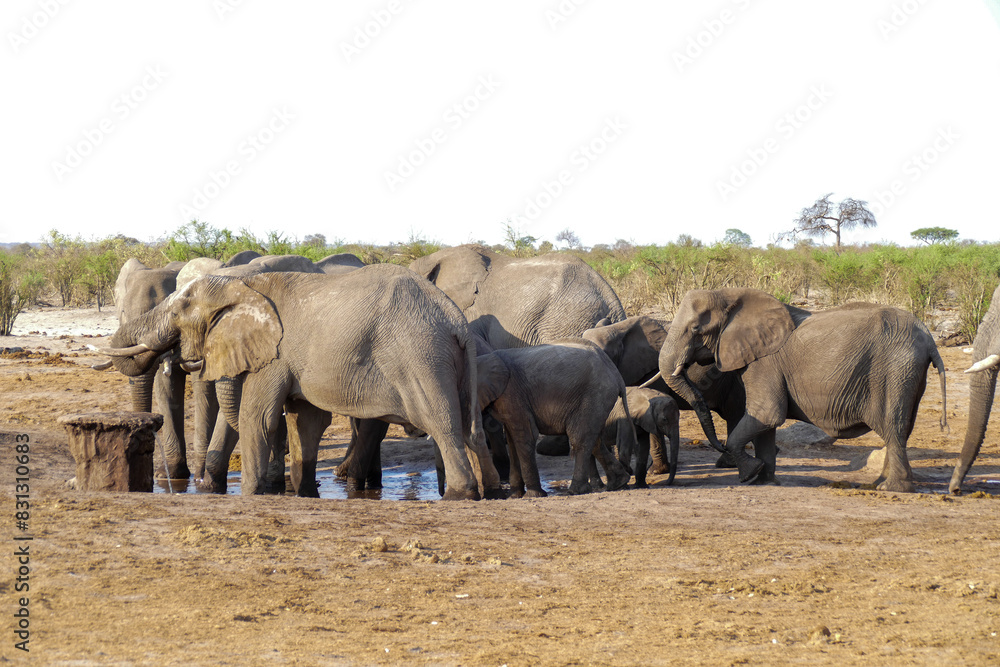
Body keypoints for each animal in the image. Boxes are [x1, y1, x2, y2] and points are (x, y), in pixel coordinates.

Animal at [102, 265, 500, 499]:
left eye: (180, 310)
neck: (242, 284)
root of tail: (455, 318)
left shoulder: (275, 353)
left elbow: (258, 418)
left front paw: (254, 494)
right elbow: (304, 420)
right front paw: (303, 492)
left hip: (420, 357)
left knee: (441, 423)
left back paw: (461, 494)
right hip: (450, 361)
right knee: (470, 428)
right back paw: (494, 490)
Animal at [473, 339, 636, 496]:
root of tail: (616, 374)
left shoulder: (512, 394)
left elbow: (525, 436)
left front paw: (532, 495)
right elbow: (512, 440)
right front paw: (514, 496)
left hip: (595, 394)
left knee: (579, 439)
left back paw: (575, 491)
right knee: (594, 440)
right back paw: (619, 483)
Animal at [655, 289, 947, 492]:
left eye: (695, 329)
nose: (718, 447)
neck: (731, 295)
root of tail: (930, 339)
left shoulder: (765, 362)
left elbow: (767, 414)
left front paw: (749, 474)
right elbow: (764, 423)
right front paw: (763, 481)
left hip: (895, 371)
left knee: (893, 427)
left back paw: (890, 489)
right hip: (907, 374)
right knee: (900, 431)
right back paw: (879, 484)